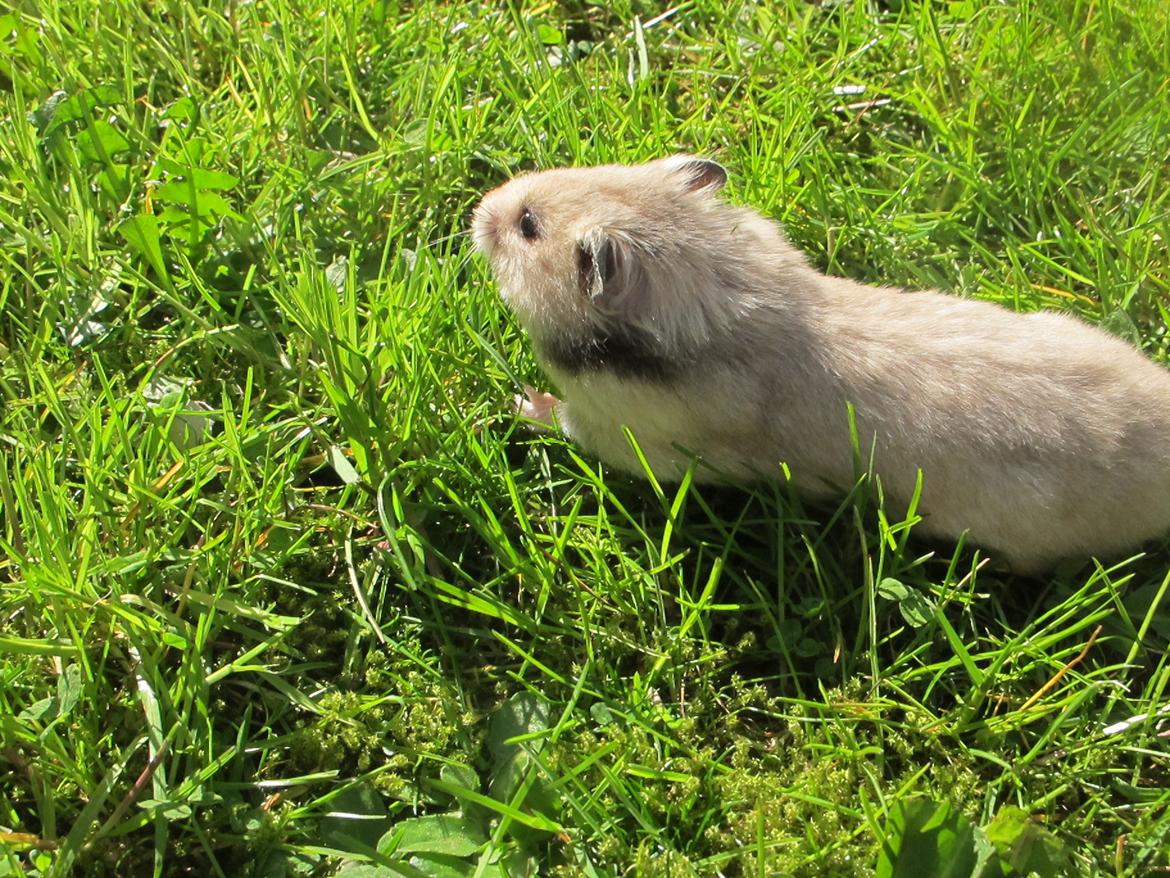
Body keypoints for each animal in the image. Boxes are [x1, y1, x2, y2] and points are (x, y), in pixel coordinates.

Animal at [471, 155, 1170, 572]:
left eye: (528, 226)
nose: (479, 207)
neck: (720, 289)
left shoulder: (626, 436)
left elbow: (565, 421)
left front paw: (515, 401)